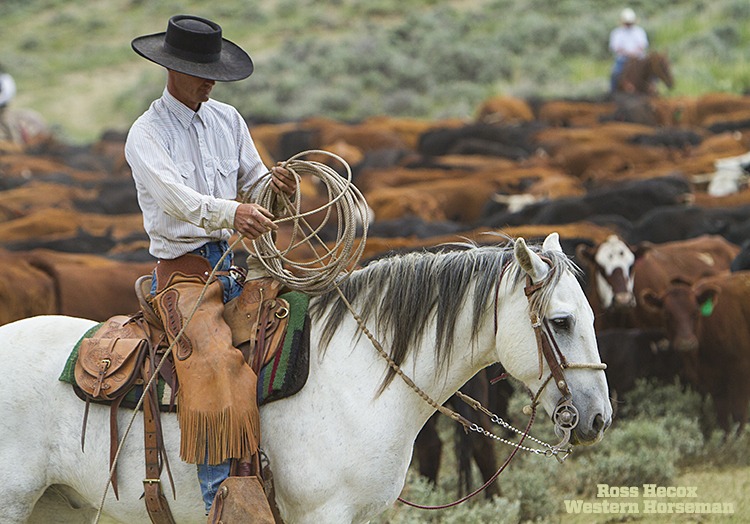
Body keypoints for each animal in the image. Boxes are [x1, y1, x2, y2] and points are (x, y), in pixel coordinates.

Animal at [640, 272, 750, 435]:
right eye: (667, 314)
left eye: (695, 312)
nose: (686, 343)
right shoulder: (713, 383)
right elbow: (723, 420)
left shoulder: (741, 372)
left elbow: (738, 415)